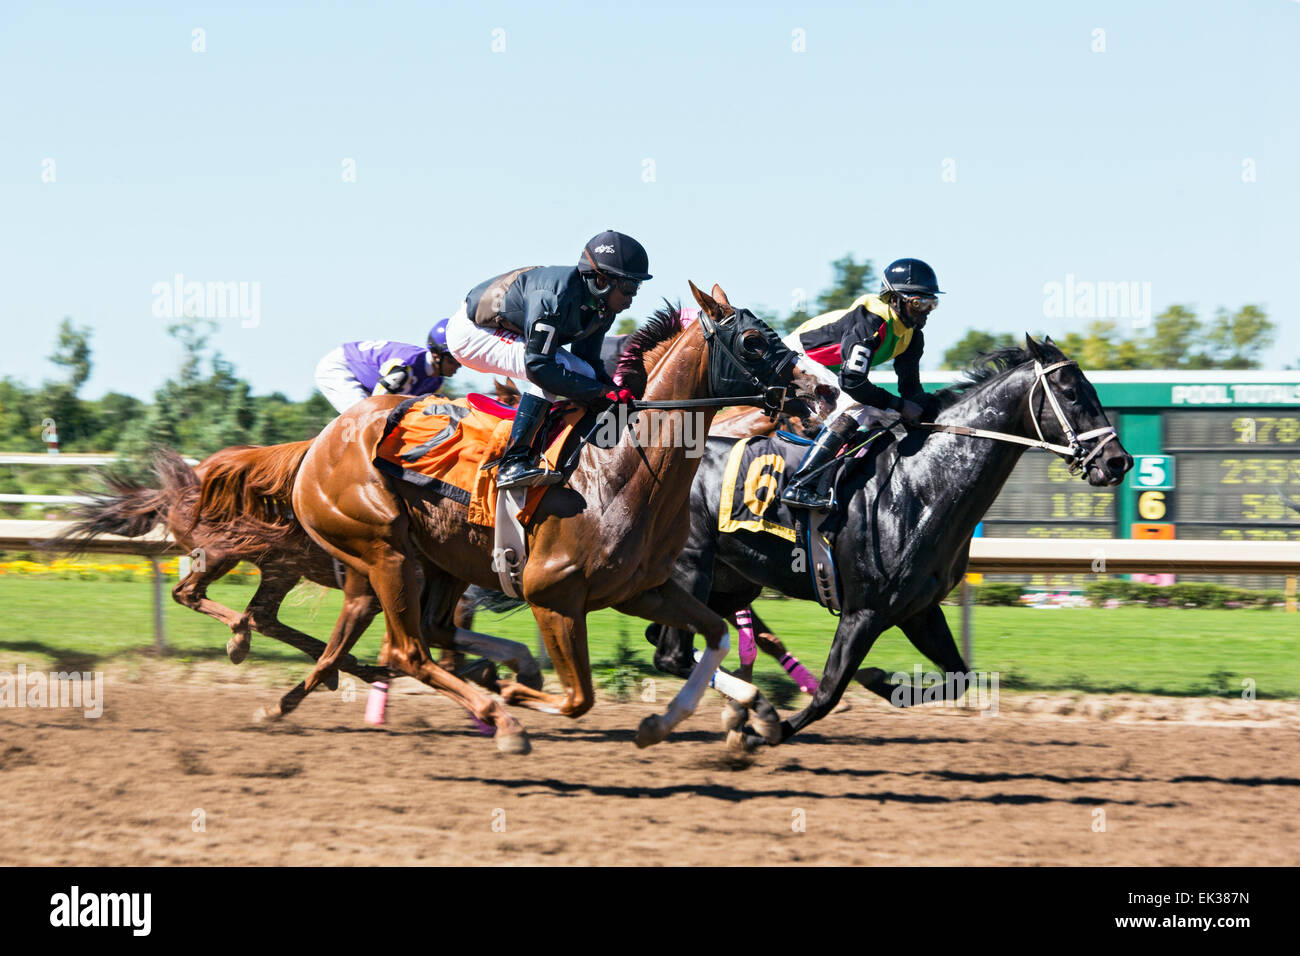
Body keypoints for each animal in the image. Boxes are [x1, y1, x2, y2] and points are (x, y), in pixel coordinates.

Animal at [270, 283, 826, 754]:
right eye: (752, 341)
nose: (820, 391)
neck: (623, 463)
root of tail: (323, 439)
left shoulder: (644, 589)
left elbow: (714, 636)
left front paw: (667, 722)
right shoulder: (552, 596)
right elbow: (580, 698)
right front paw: (514, 697)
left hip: (443, 560)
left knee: (431, 630)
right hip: (386, 551)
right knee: (406, 650)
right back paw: (501, 715)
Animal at [647, 335, 1128, 749]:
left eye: (1091, 389)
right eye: (1071, 393)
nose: (1117, 461)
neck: (920, 484)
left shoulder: (918, 610)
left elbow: (960, 678)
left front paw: (879, 679)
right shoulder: (865, 610)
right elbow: (829, 692)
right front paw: (762, 733)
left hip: (731, 583)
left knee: (670, 642)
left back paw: (746, 702)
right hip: (692, 568)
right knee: (673, 654)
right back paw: (748, 708)